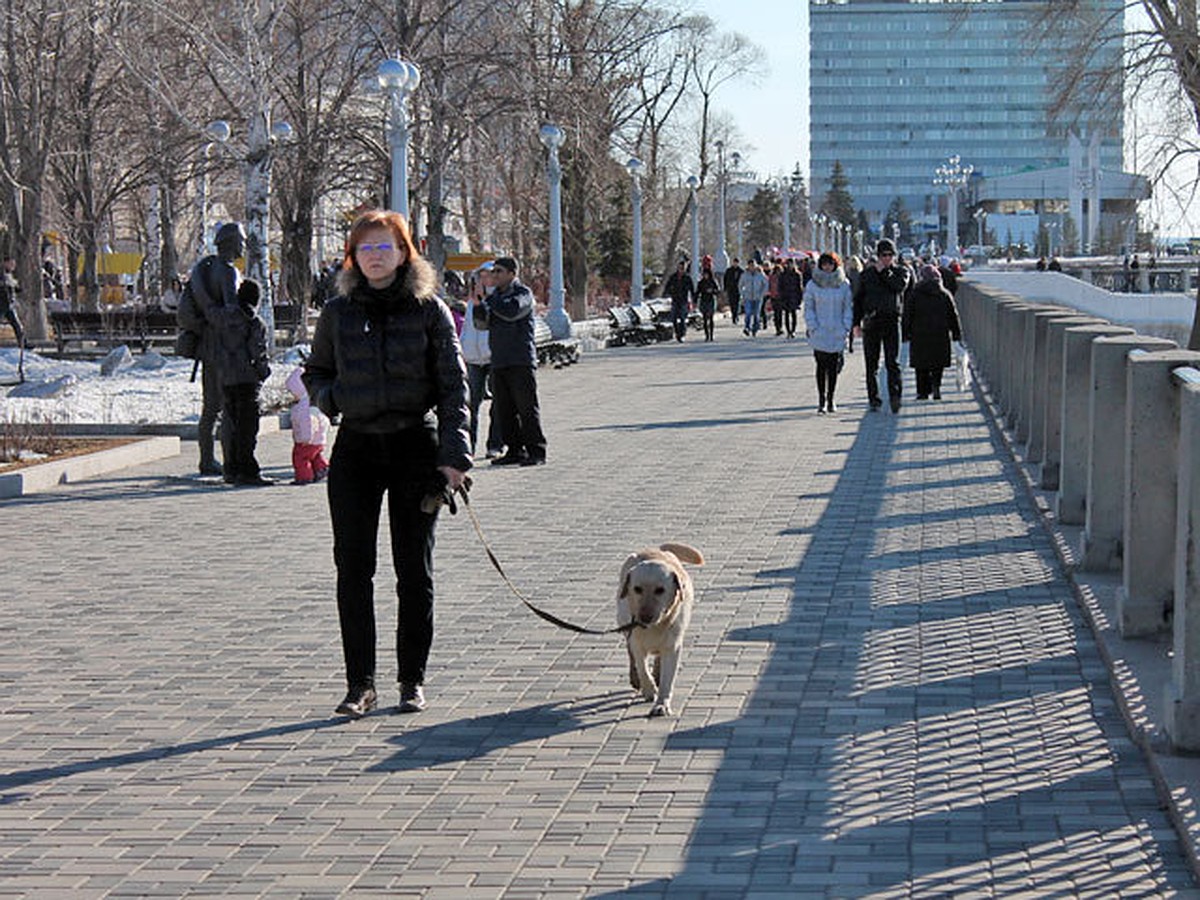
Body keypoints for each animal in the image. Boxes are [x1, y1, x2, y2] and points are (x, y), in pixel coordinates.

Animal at [619, 542, 700, 720]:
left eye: (660, 590)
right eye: (637, 589)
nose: (644, 617)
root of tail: (657, 549)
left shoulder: (672, 647)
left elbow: (667, 679)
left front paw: (662, 704)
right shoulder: (636, 642)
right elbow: (642, 667)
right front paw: (649, 689)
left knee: (658, 658)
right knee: (631, 654)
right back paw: (636, 678)